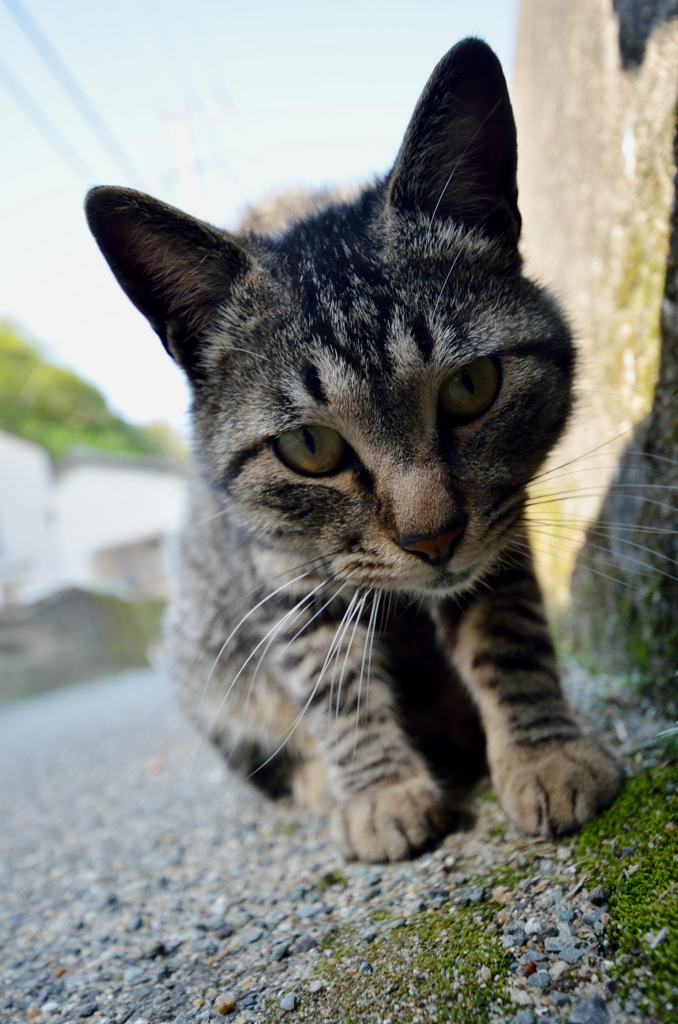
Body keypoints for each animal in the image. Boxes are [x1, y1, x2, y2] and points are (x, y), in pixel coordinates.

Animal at [85, 37, 626, 864]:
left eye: (471, 386)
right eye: (309, 446)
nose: (433, 538)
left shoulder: (502, 528)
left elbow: (510, 637)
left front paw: (543, 752)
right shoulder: (282, 570)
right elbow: (331, 680)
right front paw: (379, 792)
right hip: (203, 659)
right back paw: (320, 782)